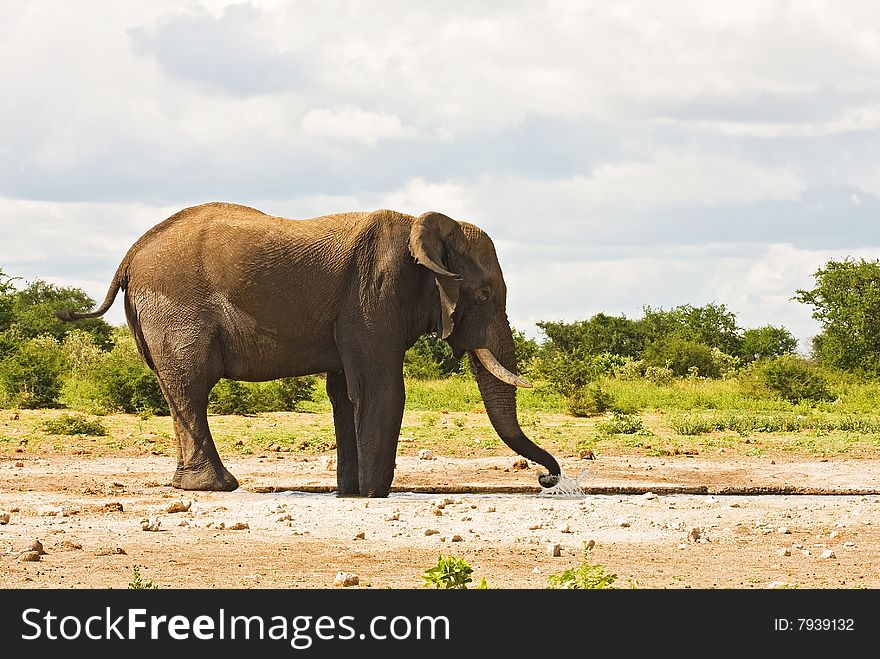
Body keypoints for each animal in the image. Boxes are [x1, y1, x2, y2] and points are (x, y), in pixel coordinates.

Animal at [58, 201, 560, 496]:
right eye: (484, 295)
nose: (547, 478)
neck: (421, 226)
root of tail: (130, 255)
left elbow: (345, 394)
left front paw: (350, 494)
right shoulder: (373, 294)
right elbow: (381, 389)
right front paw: (374, 496)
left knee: (179, 392)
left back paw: (195, 487)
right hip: (176, 309)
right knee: (192, 387)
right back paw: (218, 487)